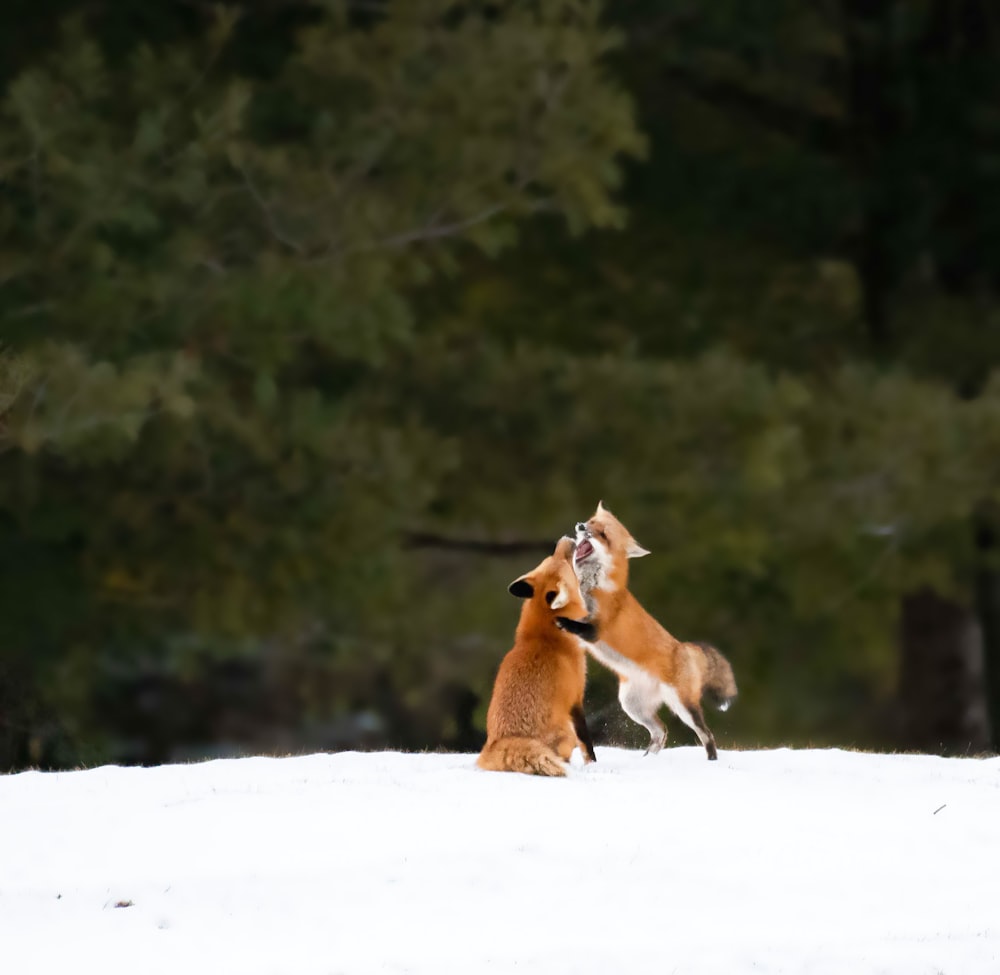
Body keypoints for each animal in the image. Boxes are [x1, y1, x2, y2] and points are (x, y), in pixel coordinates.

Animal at [478, 532, 596, 776]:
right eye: (565, 562)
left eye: (550, 557)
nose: (566, 539)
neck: (544, 634)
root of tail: (501, 742)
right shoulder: (576, 697)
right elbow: (587, 743)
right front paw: (593, 764)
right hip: (567, 733)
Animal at [572, 504, 736, 764]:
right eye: (591, 522)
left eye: (603, 534)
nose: (580, 526)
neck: (593, 584)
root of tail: (683, 647)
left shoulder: (595, 628)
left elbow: (573, 622)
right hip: (633, 706)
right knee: (661, 731)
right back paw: (647, 760)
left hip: (682, 707)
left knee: (705, 734)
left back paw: (711, 761)